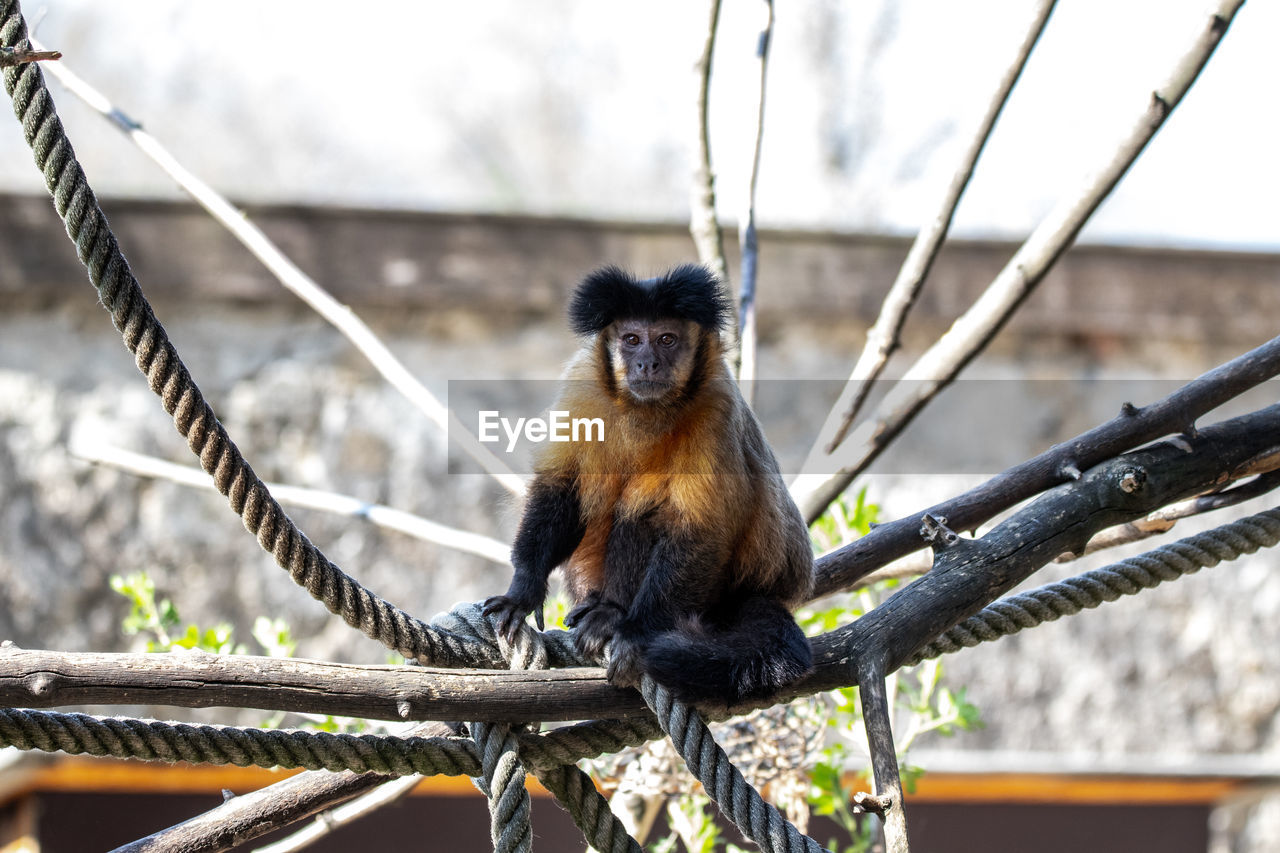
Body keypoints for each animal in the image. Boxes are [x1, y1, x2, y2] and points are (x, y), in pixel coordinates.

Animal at [483, 262, 814, 701]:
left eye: (666, 339)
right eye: (632, 340)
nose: (646, 363)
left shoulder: (716, 407)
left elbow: (700, 531)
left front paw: (636, 633)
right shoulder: (583, 384)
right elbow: (563, 487)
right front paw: (523, 587)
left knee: (646, 507)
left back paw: (612, 614)